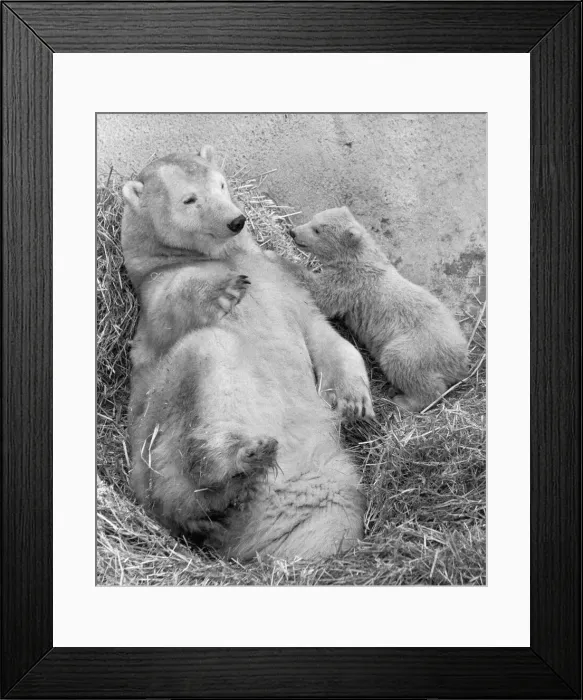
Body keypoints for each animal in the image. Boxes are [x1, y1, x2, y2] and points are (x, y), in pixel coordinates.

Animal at [121, 147, 375, 561]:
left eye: (222, 184)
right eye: (190, 199)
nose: (235, 220)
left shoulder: (286, 282)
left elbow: (323, 333)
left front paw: (353, 399)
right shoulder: (154, 291)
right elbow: (174, 309)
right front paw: (223, 289)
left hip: (321, 477)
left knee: (332, 517)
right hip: (154, 443)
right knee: (210, 357)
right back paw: (238, 465)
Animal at [288, 206, 469, 412]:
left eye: (317, 230)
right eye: (312, 219)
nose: (292, 232)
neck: (360, 257)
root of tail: (461, 361)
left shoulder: (350, 283)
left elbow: (322, 295)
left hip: (419, 348)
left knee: (402, 362)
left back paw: (403, 400)